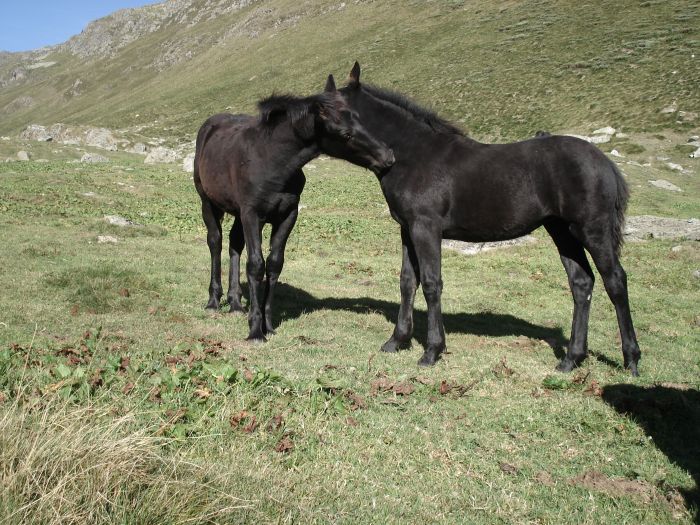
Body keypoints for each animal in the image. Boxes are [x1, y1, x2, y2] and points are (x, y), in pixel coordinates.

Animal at [194, 78, 394, 340]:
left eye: (359, 119)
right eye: (345, 133)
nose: (388, 157)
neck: (272, 161)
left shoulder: (287, 215)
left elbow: (275, 264)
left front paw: (268, 324)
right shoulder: (252, 215)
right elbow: (256, 265)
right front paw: (255, 331)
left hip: (236, 212)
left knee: (234, 244)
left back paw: (236, 303)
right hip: (208, 202)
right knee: (215, 242)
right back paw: (214, 301)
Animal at [338, 63, 640, 374]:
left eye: (336, 109)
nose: (385, 158)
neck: (414, 155)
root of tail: (605, 162)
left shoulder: (426, 228)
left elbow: (432, 283)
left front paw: (432, 351)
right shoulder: (407, 230)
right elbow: (408, 281)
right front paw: (396, 341)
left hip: (592, 230)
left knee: (615, 281)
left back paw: (631, 359)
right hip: (562, 231)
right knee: (582, 283)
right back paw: (572, 358)